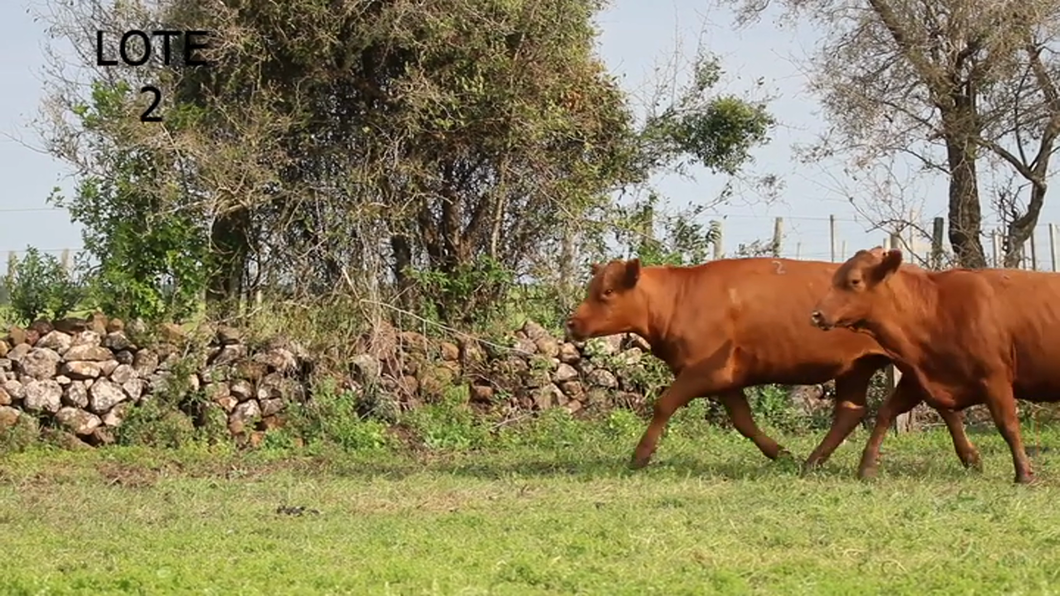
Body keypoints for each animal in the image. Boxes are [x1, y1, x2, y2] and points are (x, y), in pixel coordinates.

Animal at [563, 255, 975, 472]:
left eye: (607, 291)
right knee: (852, 412)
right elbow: (744, 422)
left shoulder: (702, 371)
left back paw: (969, 456)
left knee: (940, 405)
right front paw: (780, 453)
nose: (572, 322)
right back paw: (812, 461)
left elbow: (664, 403)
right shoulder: (727, 380)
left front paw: (641, 454)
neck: (680, 298)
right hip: (856, 369)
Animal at [814, 246, 1060, 483]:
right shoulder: (916, 378)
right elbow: (887, 413)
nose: (816, 314)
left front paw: (1024, 473)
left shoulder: (994, 378)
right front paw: (866, 467)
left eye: (854, 281)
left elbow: (1008, 425)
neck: (935, 309)